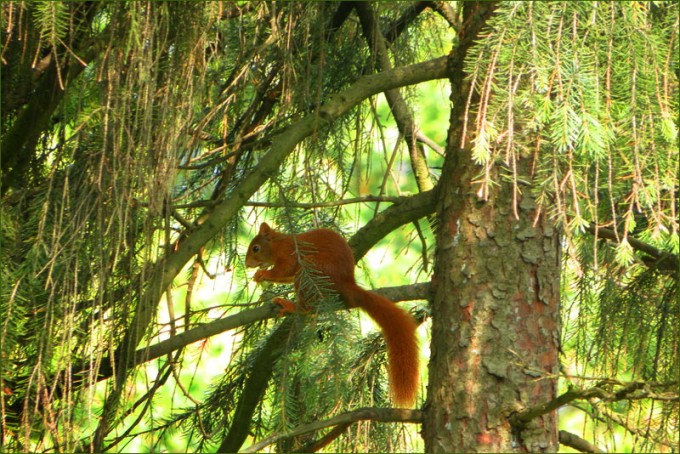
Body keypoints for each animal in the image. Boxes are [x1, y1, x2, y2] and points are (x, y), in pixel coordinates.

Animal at [245, 222, 419, 407]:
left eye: (256, 248)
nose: (247, 264)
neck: (278, 243)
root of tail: (346, 283)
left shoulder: (289, 254)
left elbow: (285, 269)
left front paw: (264, 274)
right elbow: (285, 276)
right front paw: (258, 276)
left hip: (311, 268)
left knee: (306, 306)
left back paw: (291, 305)